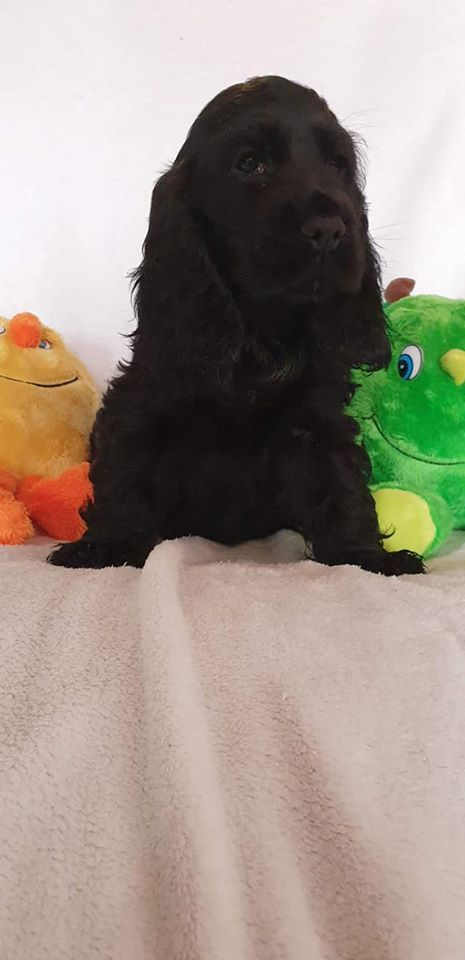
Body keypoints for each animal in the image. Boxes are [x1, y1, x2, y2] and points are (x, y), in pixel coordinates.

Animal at [49, 76, 424, 575]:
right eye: (251, 163)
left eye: (338, 165)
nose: (330, 228)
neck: (261, 329)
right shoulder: (145, 397)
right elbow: (127, 467)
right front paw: (105, 546)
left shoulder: (320, 416)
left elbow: (342, 483)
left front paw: (364, 555)